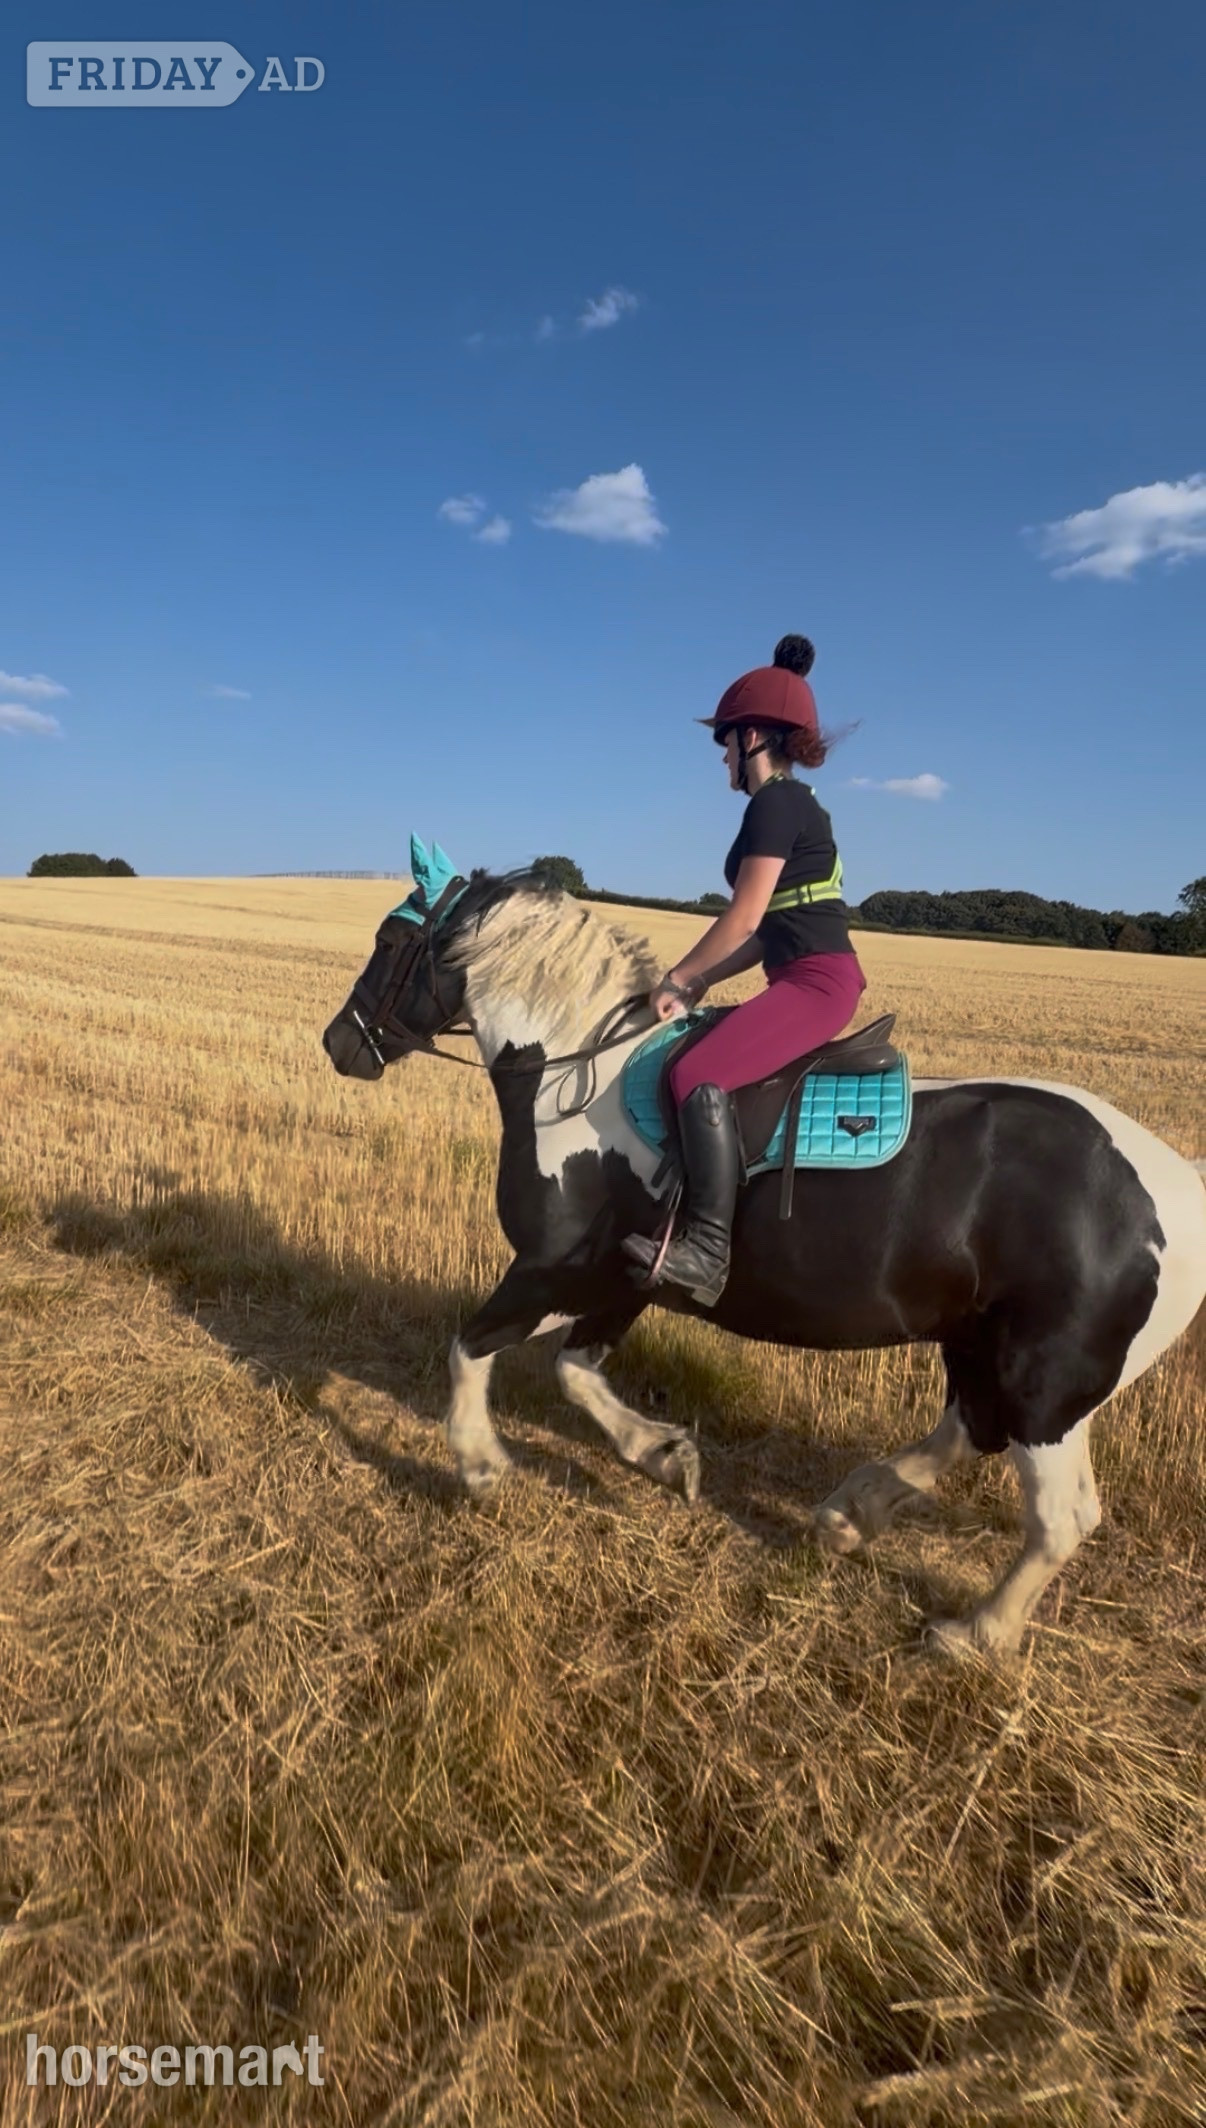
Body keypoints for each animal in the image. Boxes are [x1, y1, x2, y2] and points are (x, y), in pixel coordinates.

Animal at [322, 853, 1206, 1657]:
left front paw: (478, 1466)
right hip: (983, 1346)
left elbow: (470, 1348)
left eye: (390, 939)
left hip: (1048, 1379)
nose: (339, 1044)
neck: (578, 1079)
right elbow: (576, 1372)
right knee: (967, 1431)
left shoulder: (554, 1268)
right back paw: (851, 1514)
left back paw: (974, 1633)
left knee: (1059, 1514)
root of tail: (1179, 1184)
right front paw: (664, 1455)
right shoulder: (624, 1280)